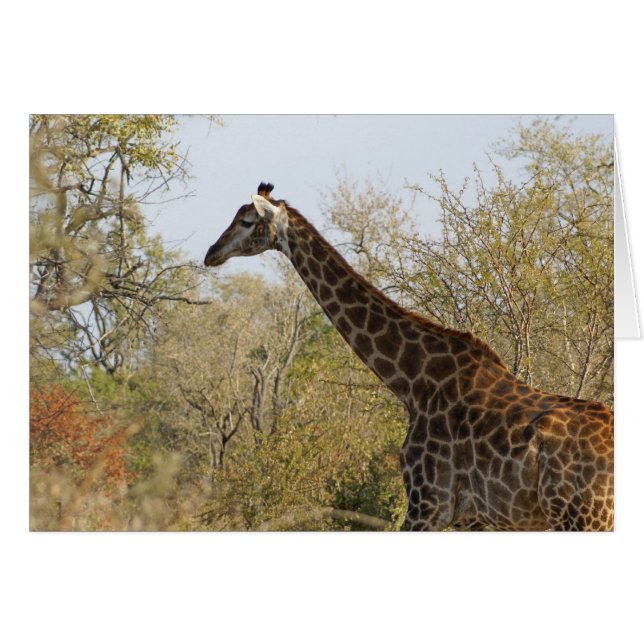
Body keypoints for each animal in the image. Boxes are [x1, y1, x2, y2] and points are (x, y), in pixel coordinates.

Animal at [204, 182, 614, 531]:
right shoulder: (470, 519)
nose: (212, 253)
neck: (411, 381)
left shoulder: (427, 504)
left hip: (583, 518)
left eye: (246, 220)